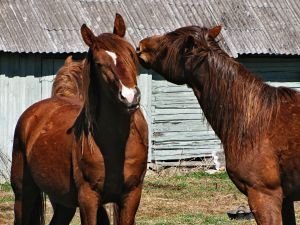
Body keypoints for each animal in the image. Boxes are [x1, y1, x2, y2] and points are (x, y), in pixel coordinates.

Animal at [10, 14, 149, 225]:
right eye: (99, 64)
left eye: (131, 54)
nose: (130, 97)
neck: (116, 145)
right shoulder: (88, 197)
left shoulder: (131, 195)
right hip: (23, 194)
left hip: (62, 201)